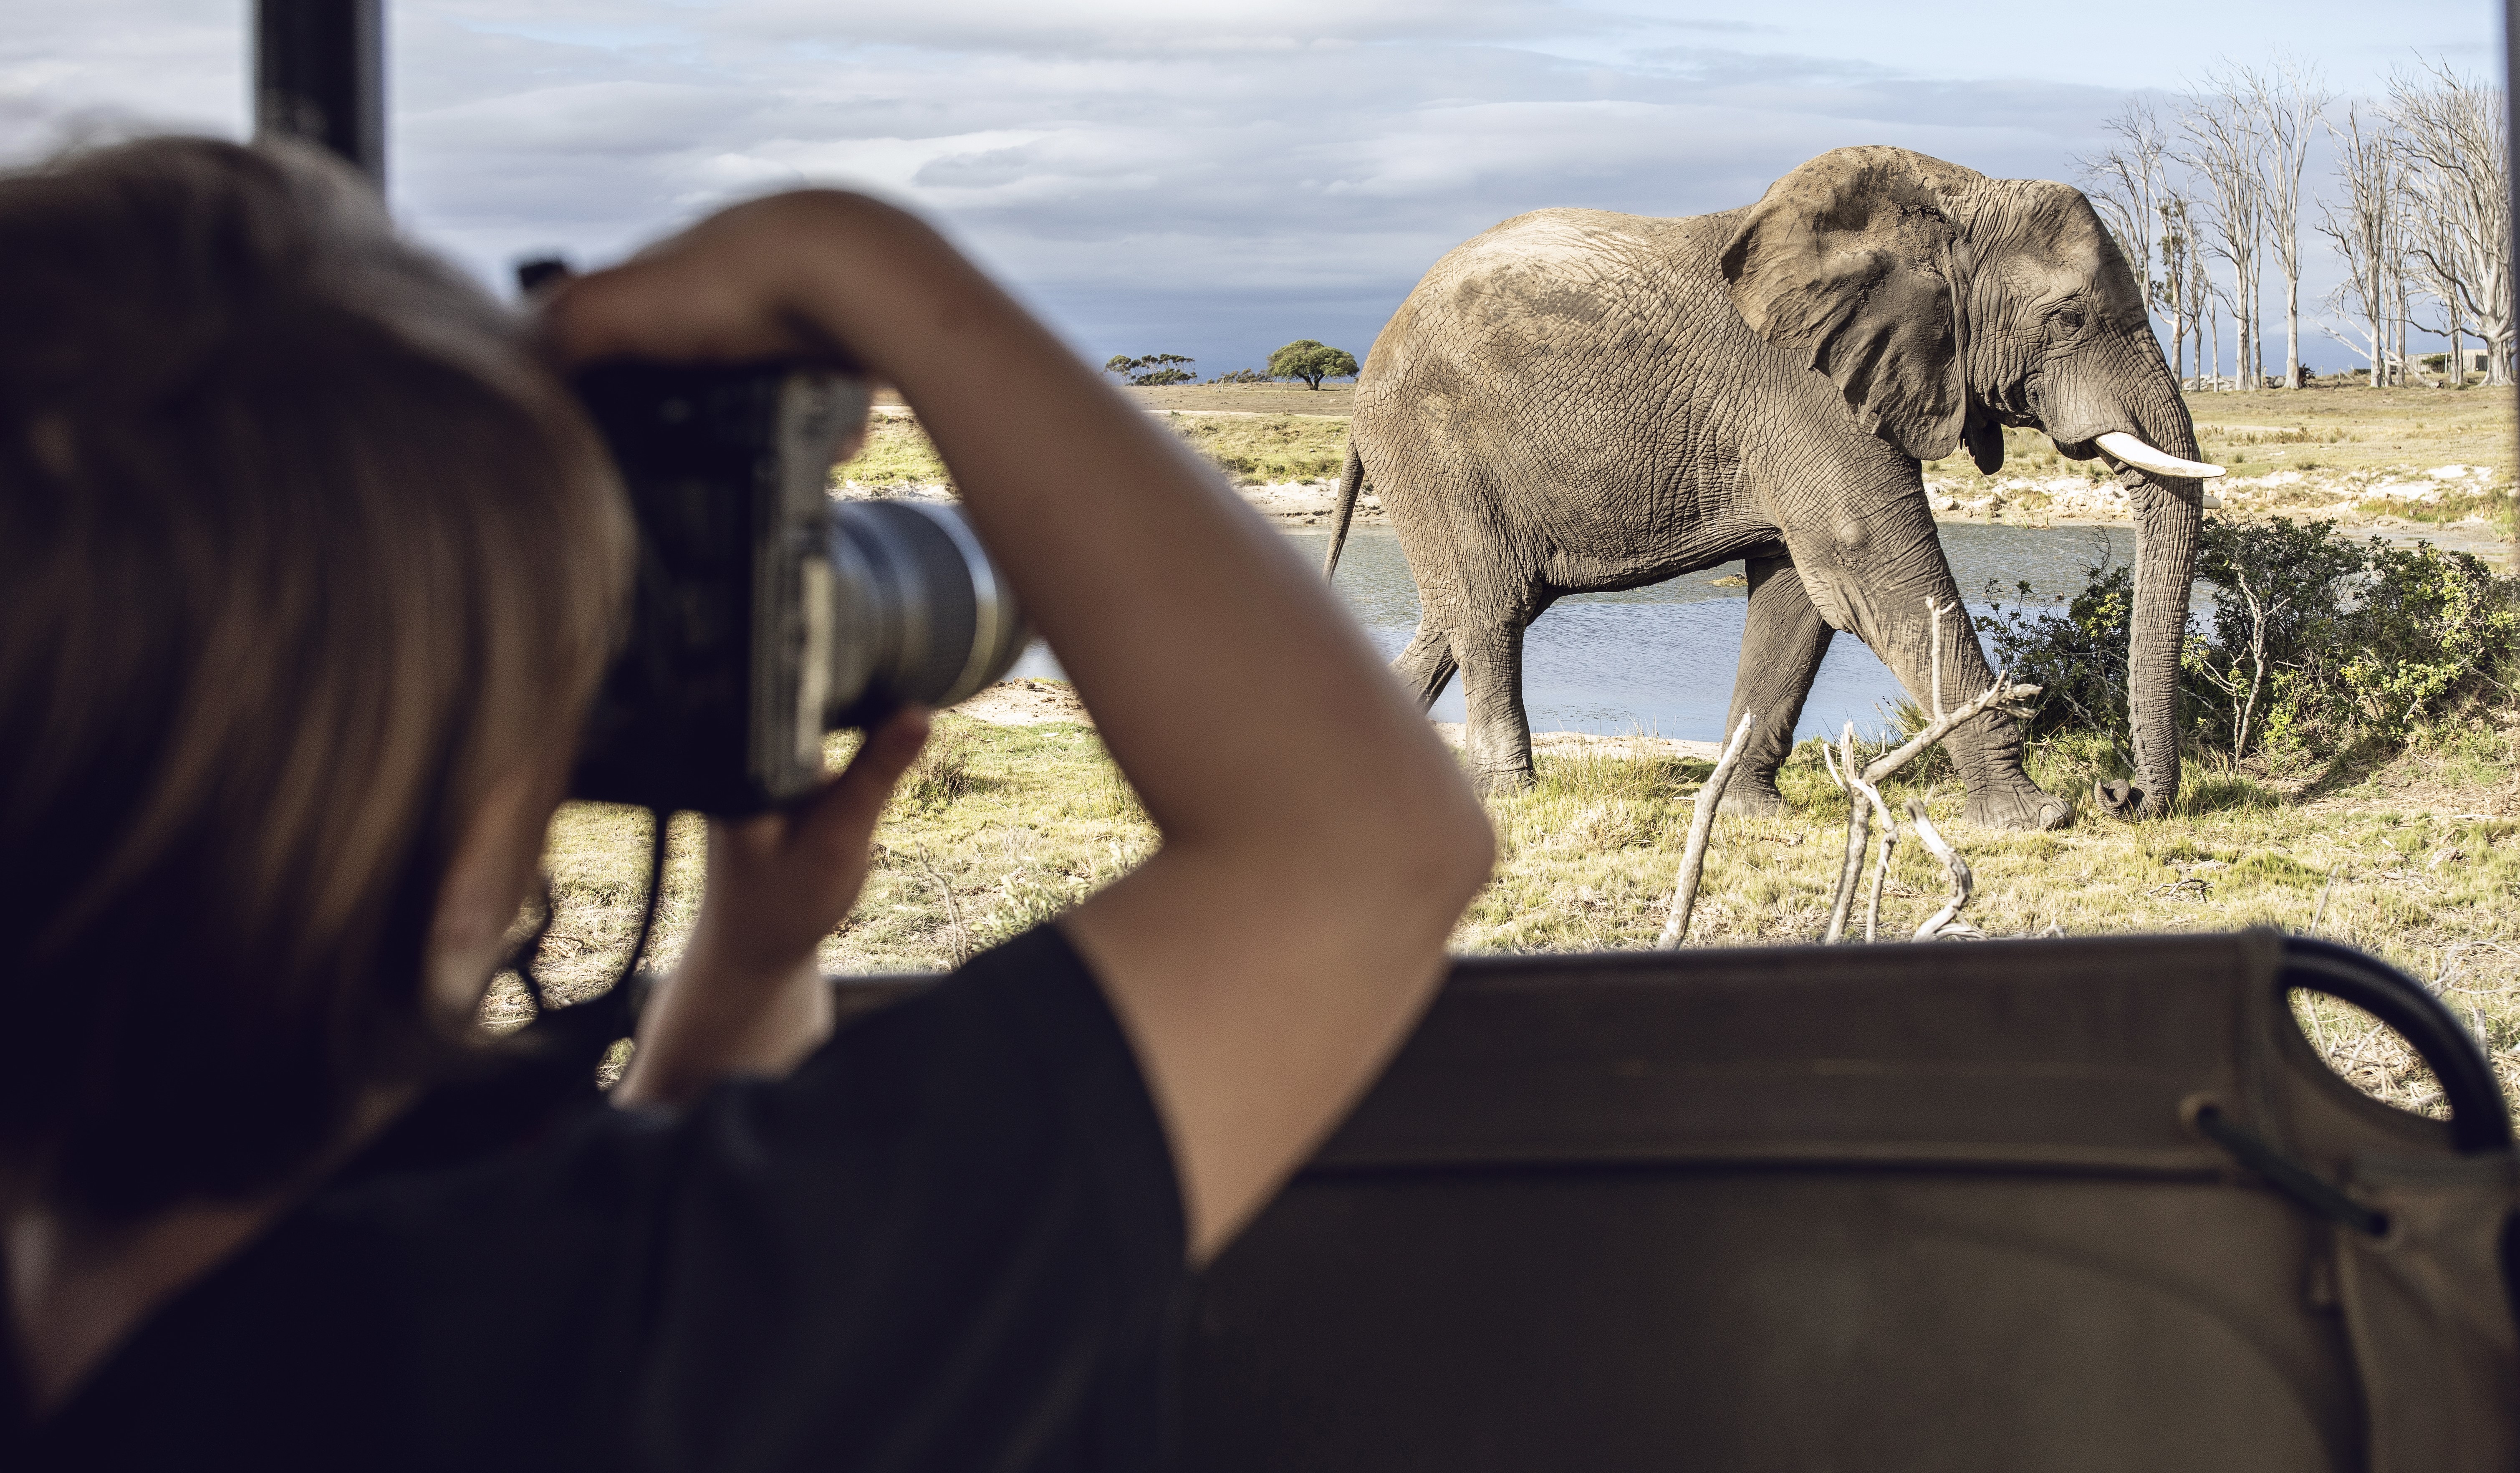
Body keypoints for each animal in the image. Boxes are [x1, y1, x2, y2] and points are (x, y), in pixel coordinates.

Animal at [1321, 145, 2221, 828]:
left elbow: (1798, 596)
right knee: (1492, 613)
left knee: (1464, 615)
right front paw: (2034, 818)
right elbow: (1869, 565)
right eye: (2068, 318)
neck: (1949, 200)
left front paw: (1751, 813)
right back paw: (1512, 793)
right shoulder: (1806, 393)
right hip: (1431, 445)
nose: (2119, 795)